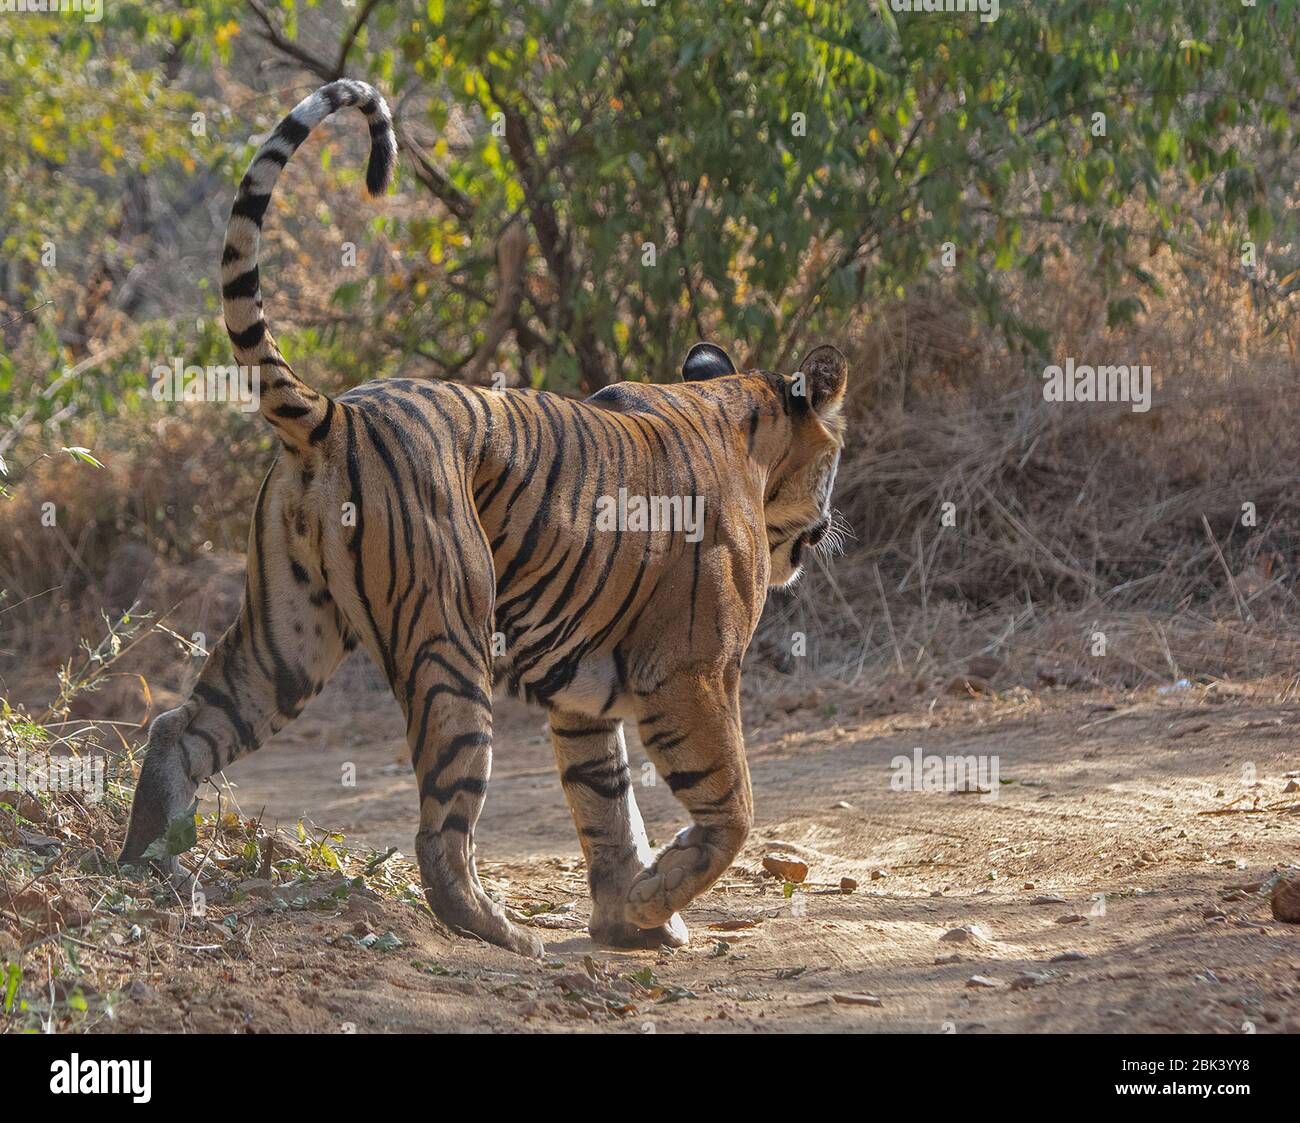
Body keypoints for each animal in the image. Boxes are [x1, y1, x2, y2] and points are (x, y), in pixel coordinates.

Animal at [122, 81, 847, 956]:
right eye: (837, 458)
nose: (829, 523)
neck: (737, 413)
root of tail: (337, 414)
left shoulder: (586, 696)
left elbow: (607, 806)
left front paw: (628, 917)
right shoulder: (694, 670)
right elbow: (731, 807)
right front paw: (653, 904)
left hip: (287, 636)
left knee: (181, 725)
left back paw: (148, 860)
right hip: (448, 638)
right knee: (442, 822)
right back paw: (496, 928)